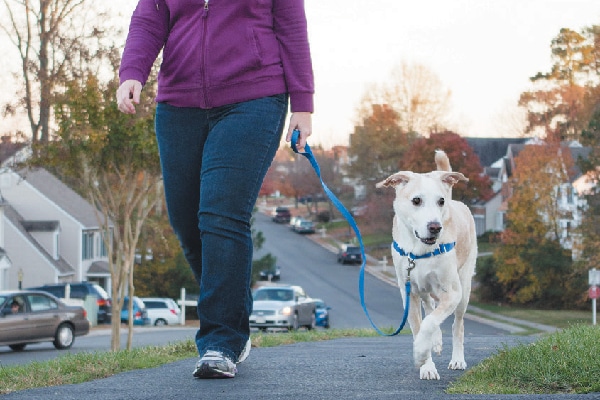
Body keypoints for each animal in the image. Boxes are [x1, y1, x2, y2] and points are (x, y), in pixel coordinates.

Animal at [376, 150, 478, 378]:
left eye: (440, 201)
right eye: (416, 200)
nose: (435, 227)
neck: (419, 250)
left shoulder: (452, 292)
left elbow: (430, 322)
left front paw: (422, 350)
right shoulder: (409, 293)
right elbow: (420, 325)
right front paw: (427, 366)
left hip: (464, 287)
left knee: (457, 324)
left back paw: (457, 359)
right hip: (423, 289)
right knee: (430, 306)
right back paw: (437, 341)